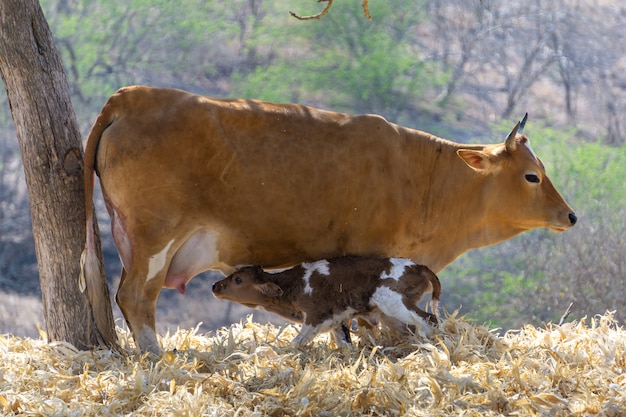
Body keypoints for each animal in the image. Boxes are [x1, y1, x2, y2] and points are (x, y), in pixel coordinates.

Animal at [212, 255, 442, 346]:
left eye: (238, 280)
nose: (215, 286)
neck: (295, 284)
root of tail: (418, 267)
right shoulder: (336, 319)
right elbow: (344, 343)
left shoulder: (315, 317)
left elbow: (297, 342)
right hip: (390, 316)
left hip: (393, 302)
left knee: (428, 319)